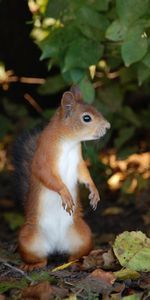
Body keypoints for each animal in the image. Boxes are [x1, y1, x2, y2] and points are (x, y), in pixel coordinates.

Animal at [13, 85, 110, 270]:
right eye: (86, 118)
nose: (108, 126)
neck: (69, 142)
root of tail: (56, 245)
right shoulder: (44, 157)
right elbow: (46, 175)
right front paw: (64, 193)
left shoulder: (78, 161)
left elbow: (84, 174)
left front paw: (94, 191)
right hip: (28, 240)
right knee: (41, 258)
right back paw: (32, 265)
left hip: (84, 237)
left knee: (75, 254)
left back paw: (78, 261)